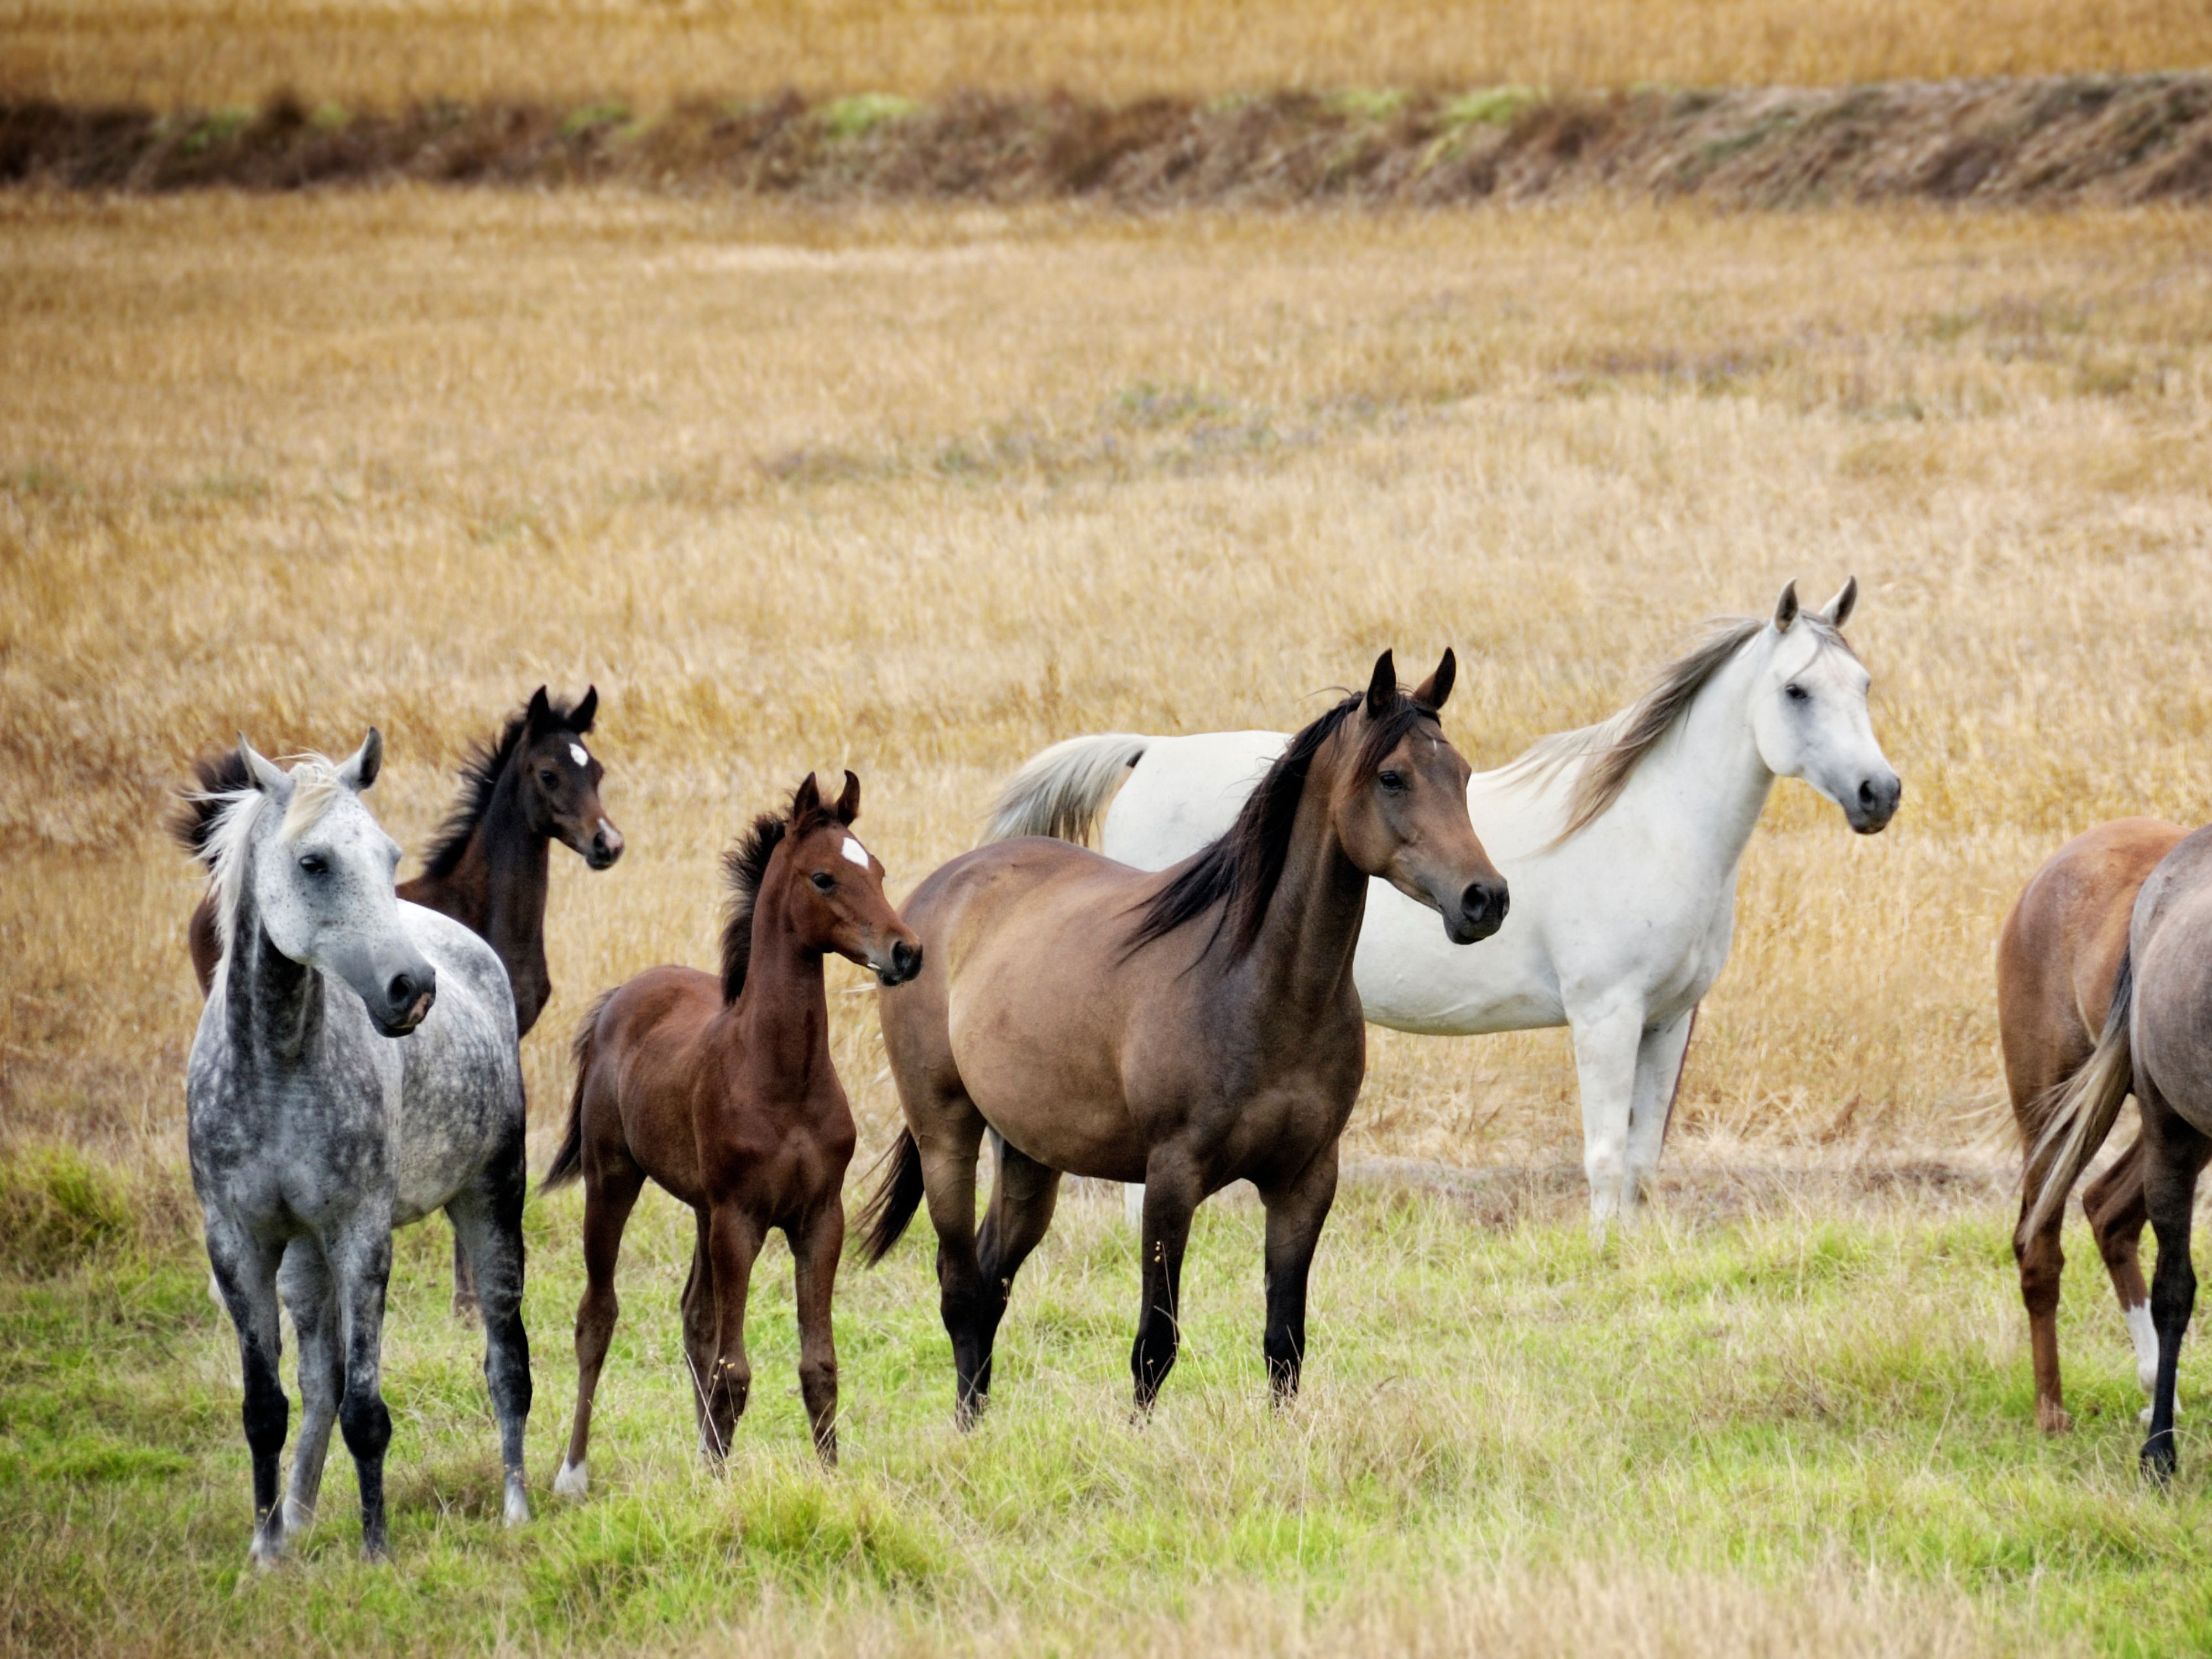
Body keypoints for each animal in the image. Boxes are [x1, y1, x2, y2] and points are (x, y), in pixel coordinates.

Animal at [184, 731, 531, 1564]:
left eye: (388, 854)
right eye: (313, 862)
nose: (412, 988)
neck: (275, 1070)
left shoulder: (362, 1236)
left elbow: (368, 1411)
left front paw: (377, 1553)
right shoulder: (239, 1242)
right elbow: (266, 1407)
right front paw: (265, 1553)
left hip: (491, 1204)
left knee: (507, 1363)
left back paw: (517, 1509)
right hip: (303, 1261)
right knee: (318, 1383)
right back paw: (297, 1518)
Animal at [543, 772, 921, 1493]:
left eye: (880, 870)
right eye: (824, 878)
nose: (906, 952)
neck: (783, 1078)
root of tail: (619, 999)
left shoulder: (817, 1219)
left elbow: (817, 1365)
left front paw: (824, 1479)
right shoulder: (740, 1219)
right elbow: (734, 1368)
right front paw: (720, 1484)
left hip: (700, 1208)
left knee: (693, 1317)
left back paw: (700, 1454)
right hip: (615, 1179)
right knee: (596, 1314)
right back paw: (572, 1473)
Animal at [858, 651, 1505, 1424]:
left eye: (1462, 774)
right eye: (1392, 777)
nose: (1485, 899)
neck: (1259, 988)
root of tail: (932, 899)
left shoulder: (1306, 1180)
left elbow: (1284, 1342)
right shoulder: (1171, 1179)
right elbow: (1154, 1346)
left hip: (1029, 1157)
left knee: (989, 1282)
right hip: (946, 1135)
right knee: (960, 1289)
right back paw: (967, 1433)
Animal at [987, 581, 1898, 1226]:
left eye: (1862, 682)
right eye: (1796, 692)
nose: (1878, 793)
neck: (1653, 824)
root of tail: (1148, 753)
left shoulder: (1669, 1021)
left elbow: (1640, 1160)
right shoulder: (1605, 1015)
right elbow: (1604, 1155)